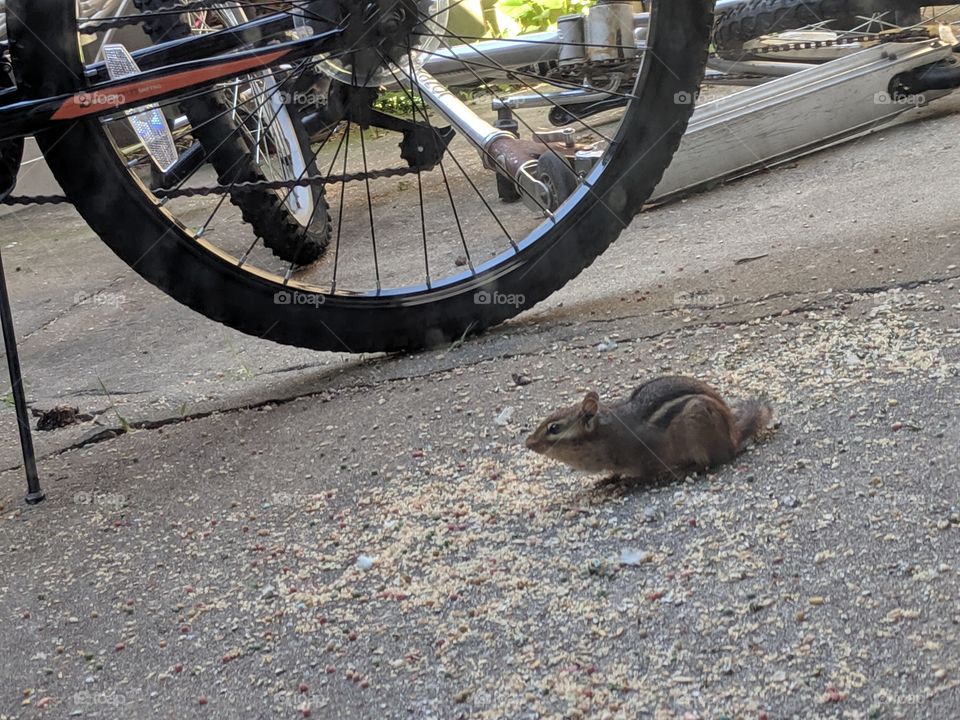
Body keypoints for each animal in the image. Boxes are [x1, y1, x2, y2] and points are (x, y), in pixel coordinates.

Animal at [525, 376, 772, 481]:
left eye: (554, 428)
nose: (528, 443)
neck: (608, 435)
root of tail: (733, 435)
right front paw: (607, 479)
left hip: (697, 429)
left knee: (711, 461)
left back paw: (686, 469)